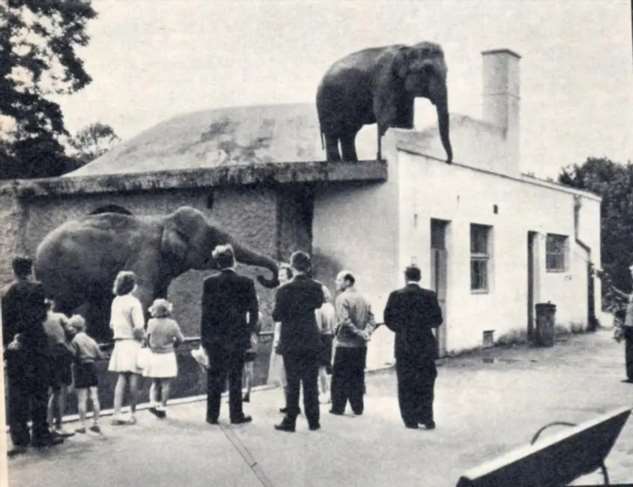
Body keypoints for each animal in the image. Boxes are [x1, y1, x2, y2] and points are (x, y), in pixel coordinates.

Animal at [35, 208, 278, 342]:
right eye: (214, 237)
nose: (264, 278)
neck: (165, 219)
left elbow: (160, 296)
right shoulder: (146, 254)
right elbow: (141, 294)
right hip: (56, 274)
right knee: (60, 305)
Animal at [314, 41, 450, 163]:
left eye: (447, 71)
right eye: (427, 70)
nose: (447, 161)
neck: (408, 47)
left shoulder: (404, 93)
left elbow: (404, 120)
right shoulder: (384, 79)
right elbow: (385, 116)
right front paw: (380, 159)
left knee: (349, 133)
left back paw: (351, 162)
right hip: (327, 101)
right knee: (333, 131)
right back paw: (336, 163)